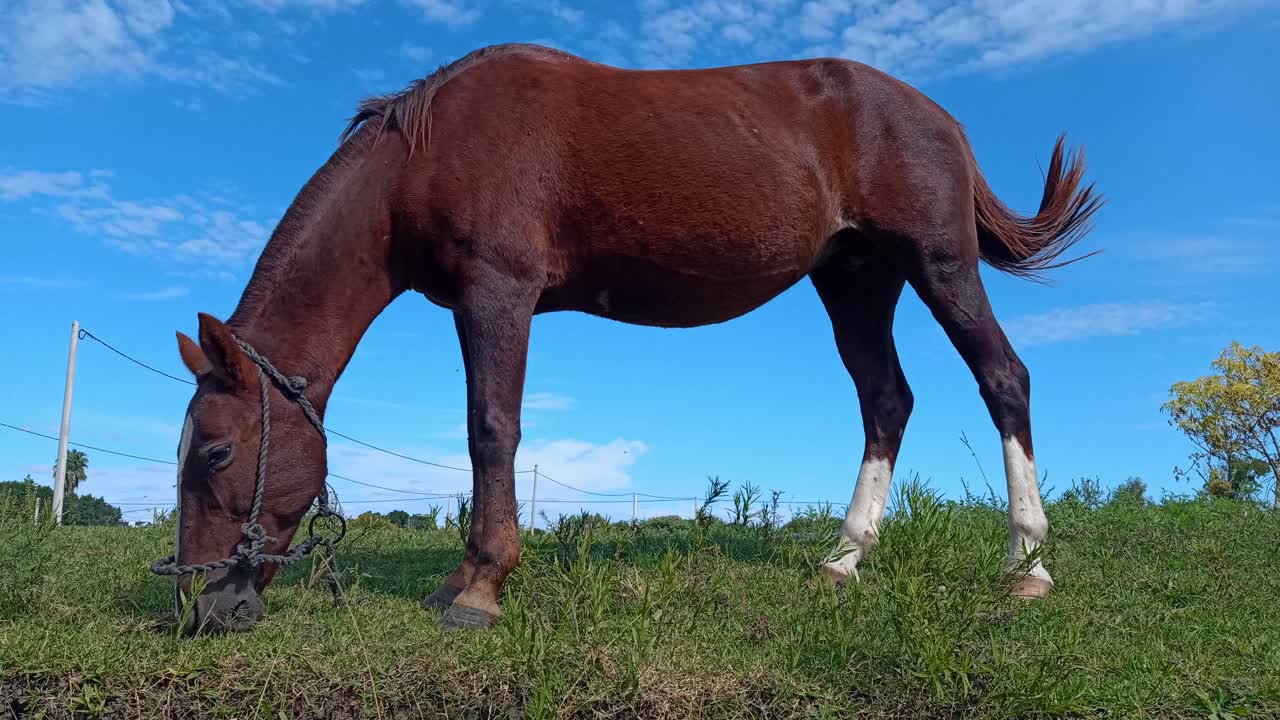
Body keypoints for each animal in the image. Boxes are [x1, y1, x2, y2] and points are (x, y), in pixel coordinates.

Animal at [161, 43, 1101, 632]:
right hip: (856, 281)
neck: (426, 154)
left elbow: (489, 429)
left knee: (1003, 378)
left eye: (214, 453)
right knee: (886, 401)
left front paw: (478, 587)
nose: (201, 611)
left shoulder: (497, 293)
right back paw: (843, 559)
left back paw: (1028, 566)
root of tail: (942, 119)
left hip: (938, 264)